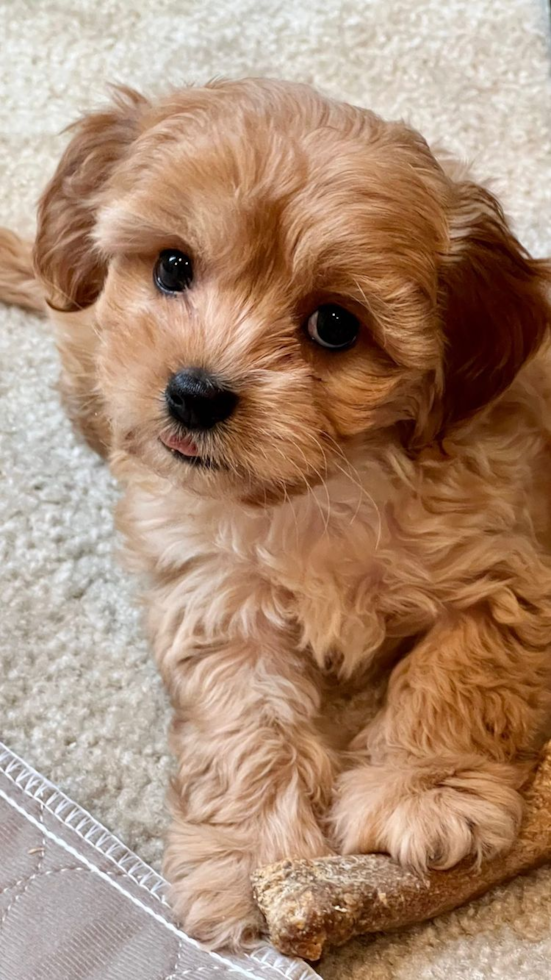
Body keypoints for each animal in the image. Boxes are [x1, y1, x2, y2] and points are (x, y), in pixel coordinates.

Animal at [1, 76, 551, 948]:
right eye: (172, 267)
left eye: (334, 324)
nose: (193, 394)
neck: (316, 488)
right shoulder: (215, 599)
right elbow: (244, 730)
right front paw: (243, 862)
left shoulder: (505, 567)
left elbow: (460, 674)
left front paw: (422, 793)